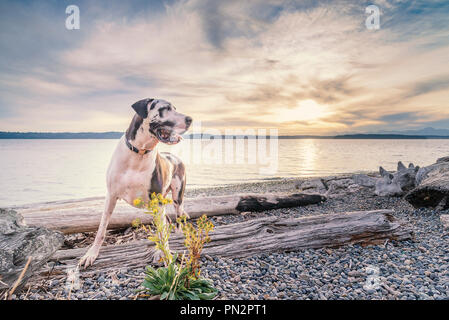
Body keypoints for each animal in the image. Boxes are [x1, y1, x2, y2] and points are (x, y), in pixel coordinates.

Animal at [79, 98, 191, 268]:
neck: (139, 153)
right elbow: (101, 229)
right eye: (165, 108)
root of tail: (175, 157)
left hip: (177, 197)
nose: (190, 119)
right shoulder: (111, 196)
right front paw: (91, 254)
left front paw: (165, 254)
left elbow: (161, 232)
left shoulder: (157, 201)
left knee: (176, 221)